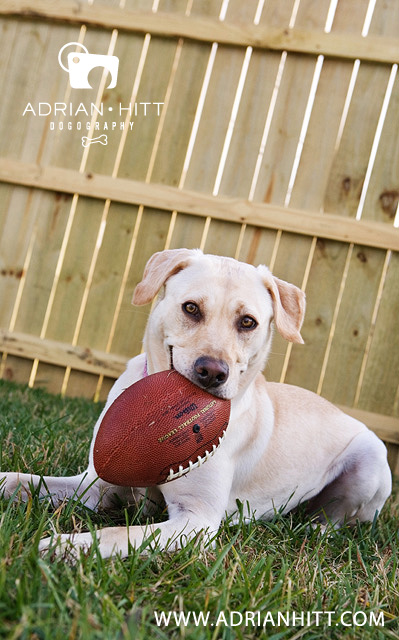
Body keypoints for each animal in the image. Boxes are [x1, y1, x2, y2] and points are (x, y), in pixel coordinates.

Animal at [0, 248, 394, 556]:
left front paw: (66, 546)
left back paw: (309, 529)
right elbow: (26, 481)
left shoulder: (196, 521)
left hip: (371, 459)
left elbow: (116, 534)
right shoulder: (95, 485)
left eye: (247, 322)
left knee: (338, 521)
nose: (212, 372)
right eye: (191, 308)